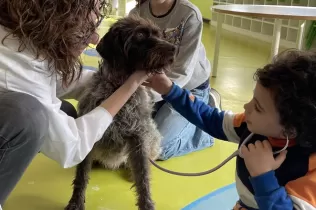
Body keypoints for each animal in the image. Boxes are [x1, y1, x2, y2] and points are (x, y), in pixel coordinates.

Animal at [65, 15, 177, 210]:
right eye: (140, 35)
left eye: (159, 34)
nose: (173, 48)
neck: (118, 86)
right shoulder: (91, 136)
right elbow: (81, 175)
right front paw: (76, 202)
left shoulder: (139, 137)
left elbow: (143, 177)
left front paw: (147, 204)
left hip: (152, 136)